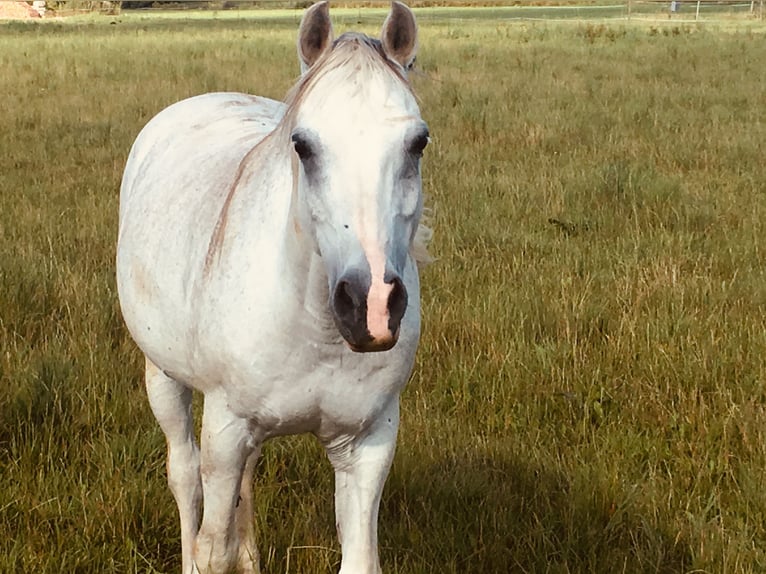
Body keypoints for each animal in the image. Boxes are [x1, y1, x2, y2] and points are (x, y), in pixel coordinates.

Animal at [116, 2, 430, 573]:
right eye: (302, 145)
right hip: (163, 377)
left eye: (418, 142)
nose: (370, 306)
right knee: (184, 477)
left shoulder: (368, 441)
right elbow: (212, 547)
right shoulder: (225, 429)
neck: (316, 330)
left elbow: (357, 556)